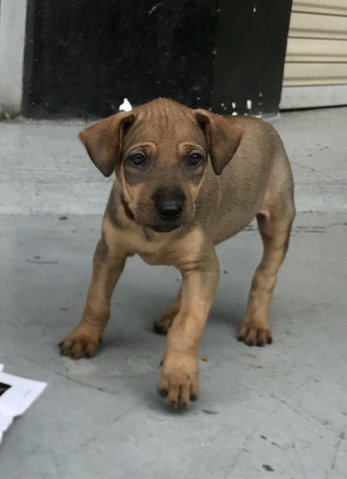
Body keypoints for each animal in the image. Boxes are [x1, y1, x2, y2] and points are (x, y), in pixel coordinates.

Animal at [59, 97, 296, 408]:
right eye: (138, 159)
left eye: (194, 159)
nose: (171, 209)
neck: (151, 232)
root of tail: (261, 122)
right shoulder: (109, 254)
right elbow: (96, 301)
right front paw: (84, 336)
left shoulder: (204, 265)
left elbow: (189, 324)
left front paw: (179, 375)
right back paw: (171, 314)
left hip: (277, 223)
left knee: (265, 275)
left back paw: (255, 323)